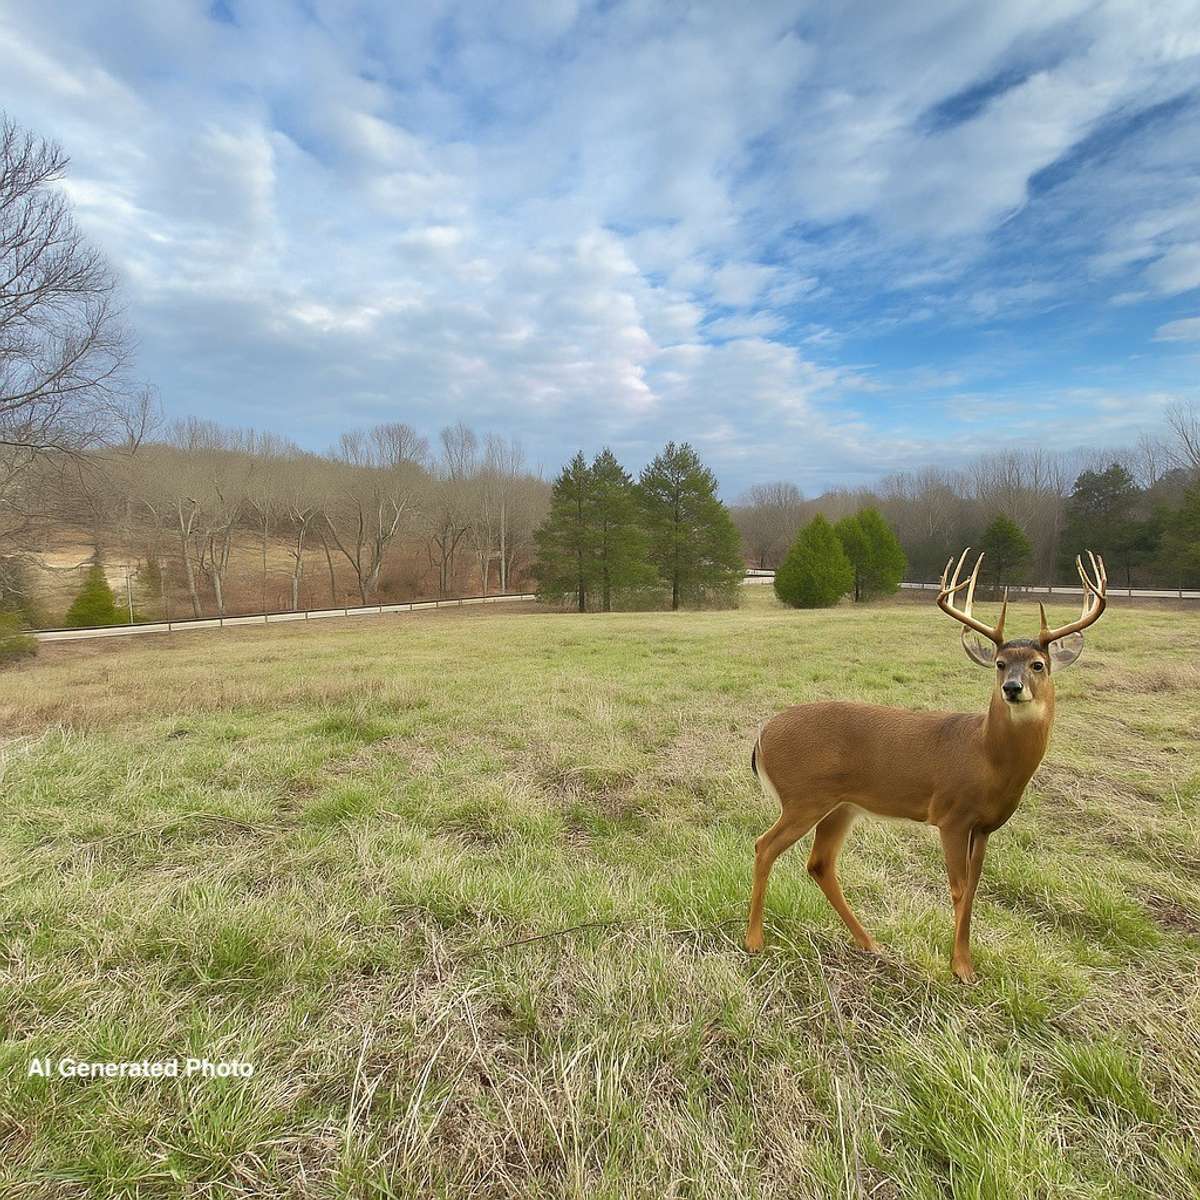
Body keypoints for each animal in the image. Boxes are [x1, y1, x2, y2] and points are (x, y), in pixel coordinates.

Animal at [745, 548, 1107, 981]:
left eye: (1038, 664)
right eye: (1001, 663)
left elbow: (974, 888)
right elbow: (958, 888)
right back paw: (754, 940)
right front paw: (961, 967)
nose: (1012, 688)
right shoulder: (952, 814)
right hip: (804, 797)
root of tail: (762, 736)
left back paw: (869, 942)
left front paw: (966, 960)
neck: (987, 758)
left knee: (820, 864)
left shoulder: (986, 826)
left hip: (841, 806)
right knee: (764, 845)